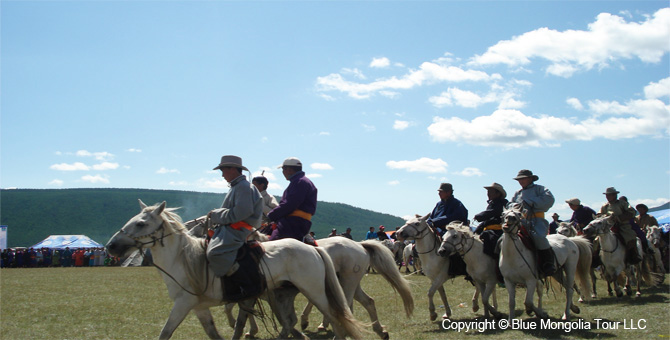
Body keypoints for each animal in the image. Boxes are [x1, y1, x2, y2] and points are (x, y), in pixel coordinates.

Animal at [105, 202, 368, 340]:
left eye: (141, 223)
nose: (111, 246)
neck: (185, 261)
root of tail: (313, 249)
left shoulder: (183, 303)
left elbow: (165, 332)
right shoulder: (199, 307)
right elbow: (215, 332)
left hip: (314, 290)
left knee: (335, 315)